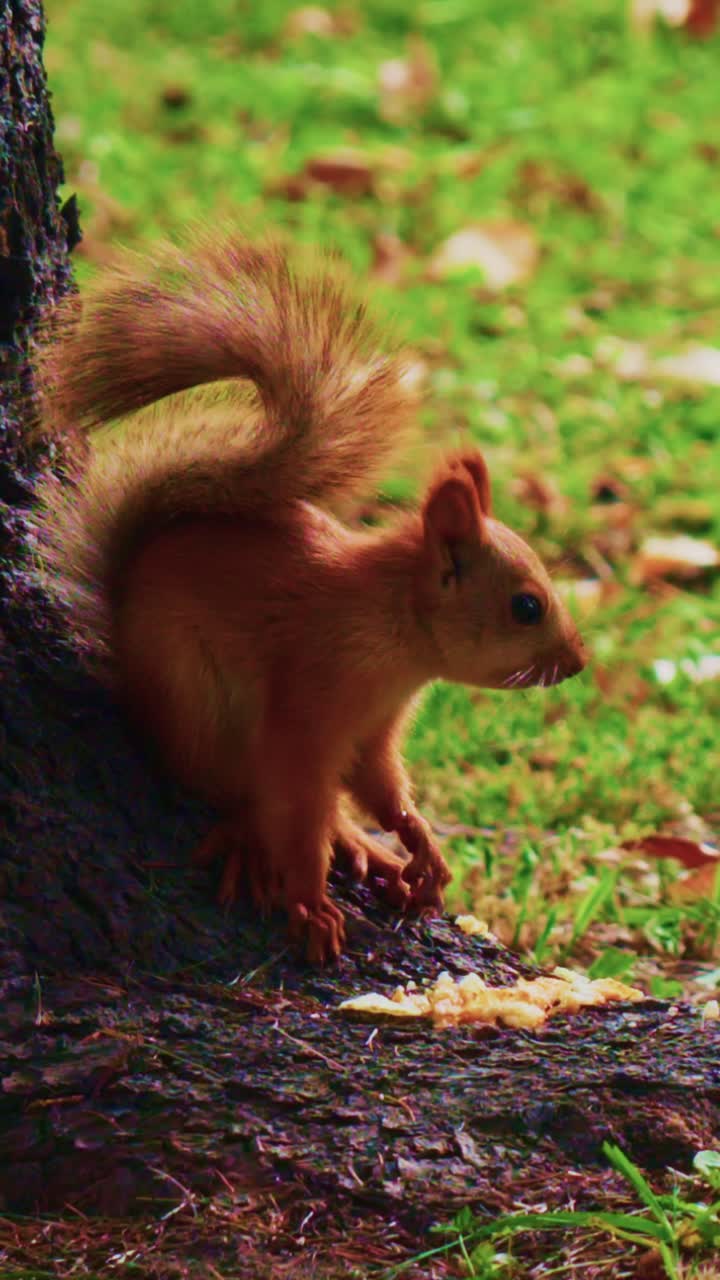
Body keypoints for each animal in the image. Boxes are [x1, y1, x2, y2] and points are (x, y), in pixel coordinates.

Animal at [31, 229, 587, 964]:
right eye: (527, 606)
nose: (577, 663)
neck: (395, 635)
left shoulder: (376, 729)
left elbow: (381, 787)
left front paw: (420, 844)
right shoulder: (314, 695)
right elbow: (299, 801)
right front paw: (309, 900)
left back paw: (362, 848)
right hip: (194, 699)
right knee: (227, 787)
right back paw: (254, 839)